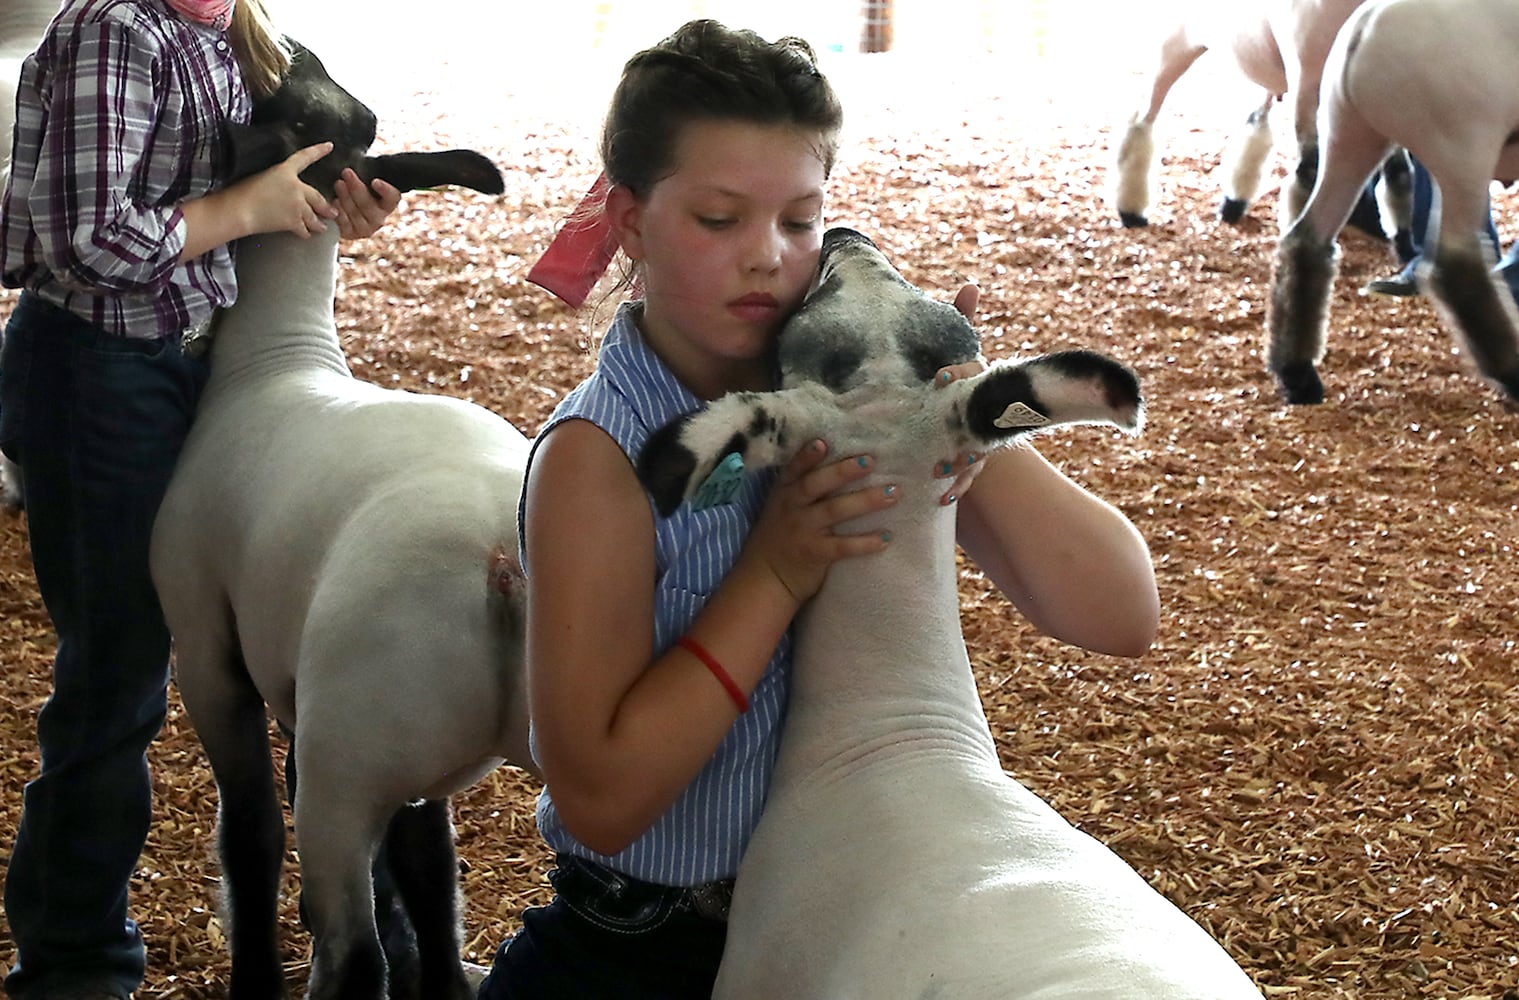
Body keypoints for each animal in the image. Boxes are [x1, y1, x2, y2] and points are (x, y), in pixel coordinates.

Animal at [148, 40, 528, 996]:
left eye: (293, 116)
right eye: (352, 117)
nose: (300, 47)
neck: (277, 357)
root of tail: (502, 566)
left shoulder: (207, 648)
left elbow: (249, 833)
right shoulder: (388, 752)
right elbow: (429, 874)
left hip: (347, 758)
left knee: (353, 950)